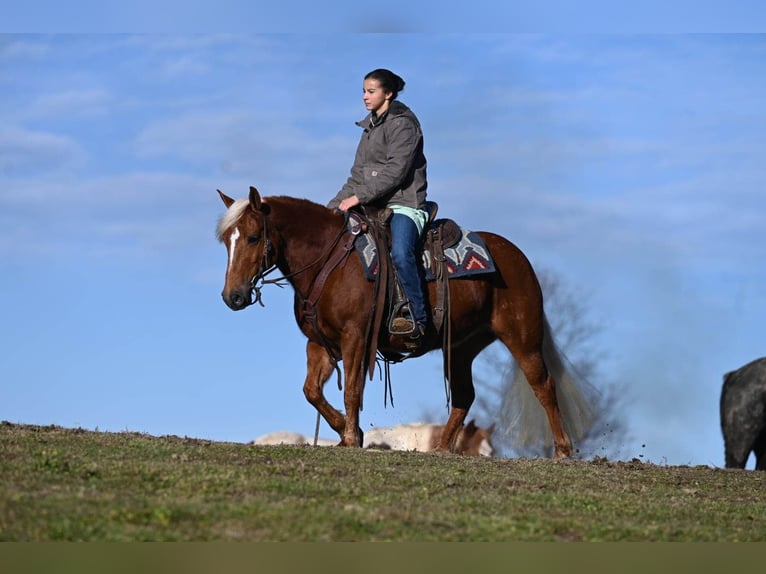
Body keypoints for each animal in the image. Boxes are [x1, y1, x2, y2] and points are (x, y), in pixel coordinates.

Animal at [216, 188, 600, 460]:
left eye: (253, 237)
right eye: (226, 240)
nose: (233, 296)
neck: (329, 261)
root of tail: (518, 258)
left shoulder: (356, 337)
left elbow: (352, 390)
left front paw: (352, 437)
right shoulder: (321, 344)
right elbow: (312, 391)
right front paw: (347, 433)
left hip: (523, 338)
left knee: (544, 385)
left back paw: (563, 450)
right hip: (461, 348)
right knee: (465, 396)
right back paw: (442, 448)